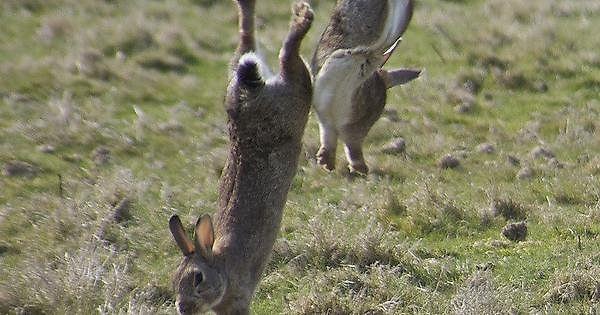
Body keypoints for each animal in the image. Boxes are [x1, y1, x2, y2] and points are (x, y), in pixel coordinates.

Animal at [166, 1, 312, 314]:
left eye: (198, 279)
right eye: (174, 280)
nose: (183, 308)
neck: (222, 266)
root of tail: (246, 96)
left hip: (296, 100)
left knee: (289, 57)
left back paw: (302, 17)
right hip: (247, 75)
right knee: (248, 40)